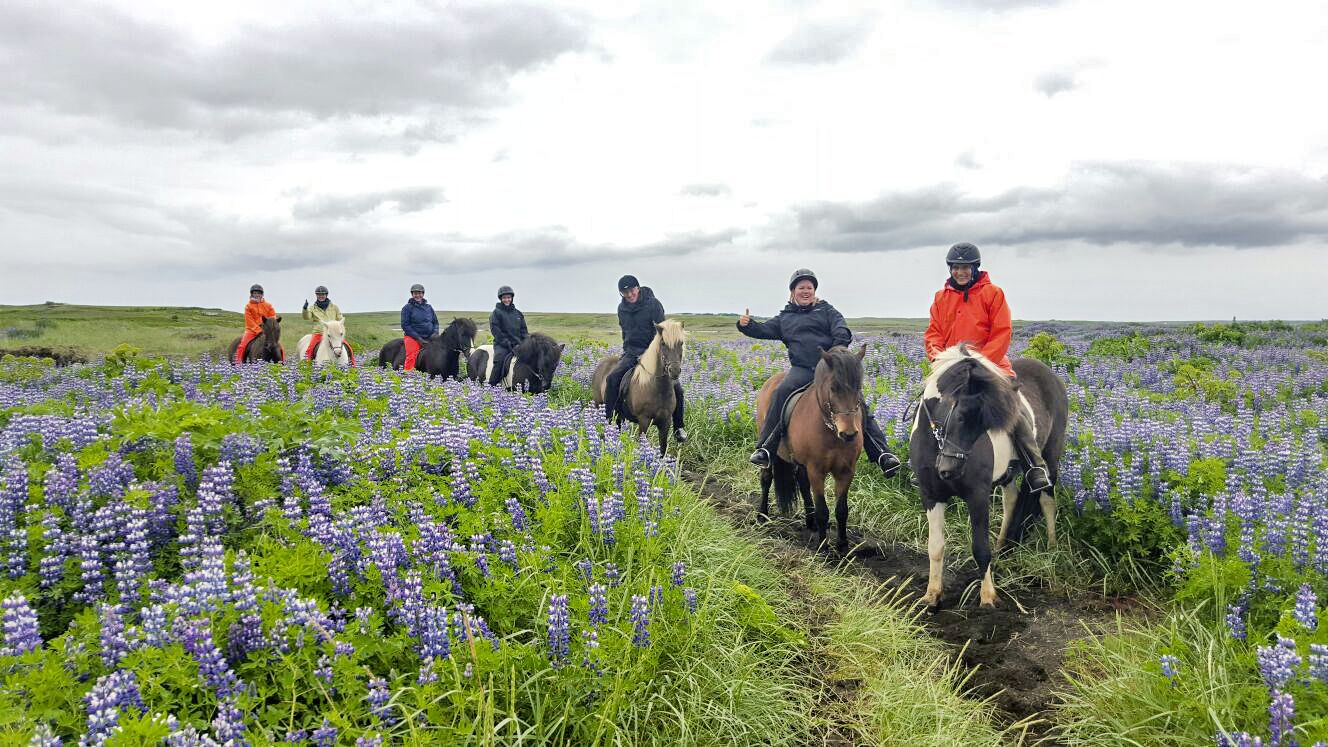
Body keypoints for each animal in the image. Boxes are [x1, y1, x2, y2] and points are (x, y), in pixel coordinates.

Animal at [908, 342, 1073, 606]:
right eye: (959, 416)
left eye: (984, 426)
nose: (949, 469)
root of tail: (1048, 371)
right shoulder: (931, 495)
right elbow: (935, 546)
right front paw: (931, 595)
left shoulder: (977, 495)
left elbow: (980, 548)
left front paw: (988, 597)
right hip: (1009, 473)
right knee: (1011, 500)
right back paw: (1002, 545)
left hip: (1051, 456)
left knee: (1047, 500)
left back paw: (1052, 547)